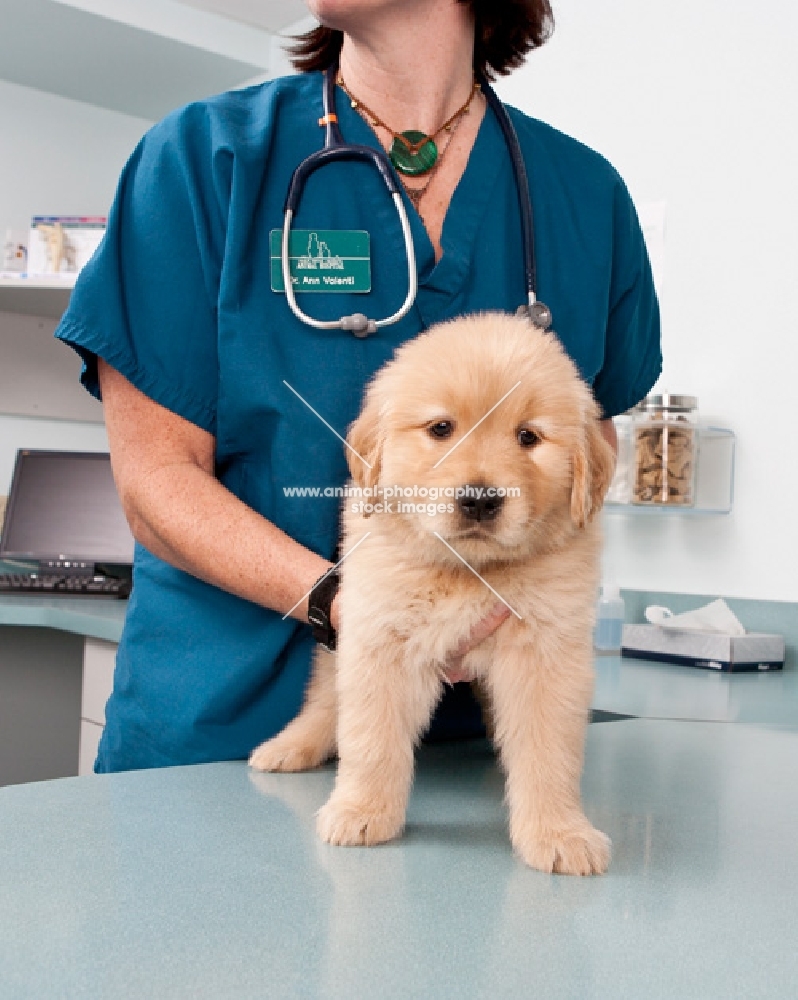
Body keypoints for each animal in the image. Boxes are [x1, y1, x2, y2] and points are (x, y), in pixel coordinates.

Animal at [253, 312, 616, 876]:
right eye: (441, 428)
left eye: (528, 436)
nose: (480, 500)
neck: (469, 571)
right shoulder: (377, 635)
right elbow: (371, 737)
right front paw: (362, 811)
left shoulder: (548, 654)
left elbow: (549, 753)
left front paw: (559, 832)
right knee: (324, 701)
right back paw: (288, 747)